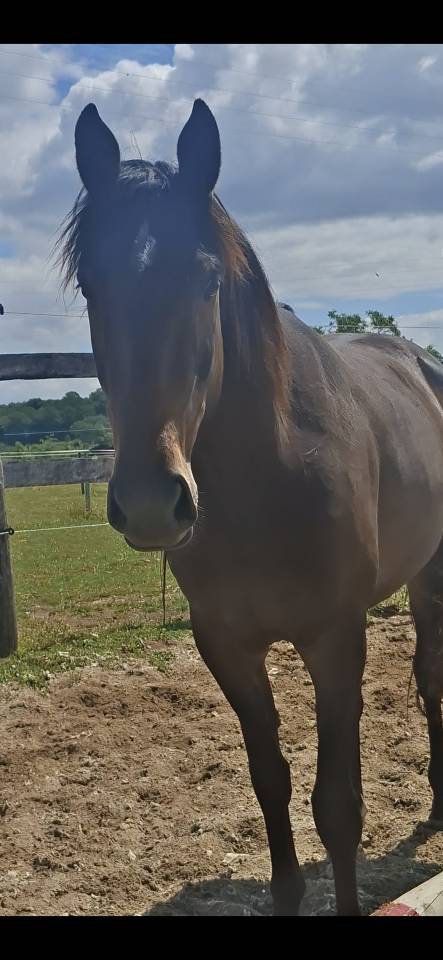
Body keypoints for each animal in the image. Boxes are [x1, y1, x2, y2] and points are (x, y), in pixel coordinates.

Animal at [58, 98, 443, 916]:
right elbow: (271, 785)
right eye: (92, 287)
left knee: (429, 675)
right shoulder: (227, 645)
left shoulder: (335, 637)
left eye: (206, 279)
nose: (151, 502)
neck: (266, 479)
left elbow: (337, 806)